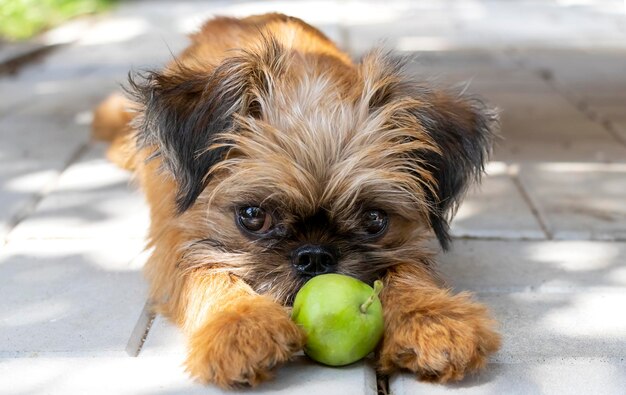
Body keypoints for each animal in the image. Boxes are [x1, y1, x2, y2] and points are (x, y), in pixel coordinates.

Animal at [92, 13, 500, 390]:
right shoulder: (175, 240)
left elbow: (408, 269)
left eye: (374, 220)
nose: (315, 256)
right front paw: (241, 321)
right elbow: (207, 271)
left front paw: (433, 317)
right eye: (252, 216)